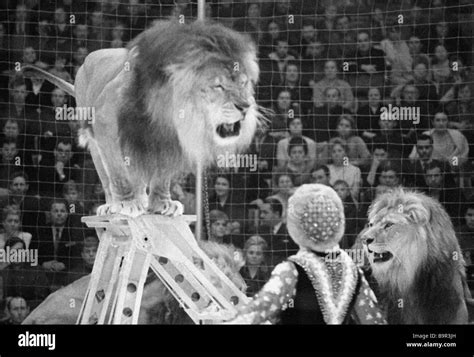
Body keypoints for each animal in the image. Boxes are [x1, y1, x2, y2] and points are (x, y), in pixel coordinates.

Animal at [24, 20, 262, 217]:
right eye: (218, 85)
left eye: (243, 83)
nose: (245, 106)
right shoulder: (105, 123)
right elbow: (118, 173)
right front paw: (126, 203)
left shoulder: (168, 141)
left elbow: (162, 175)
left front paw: (162, 203)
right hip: (94, 138)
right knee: (107, 176)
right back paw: (111, 205)